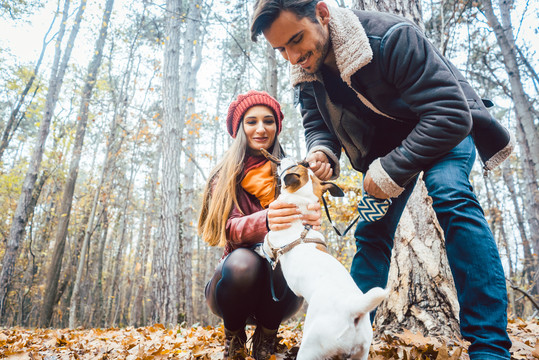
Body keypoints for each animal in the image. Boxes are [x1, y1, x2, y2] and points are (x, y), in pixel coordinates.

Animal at [262, 151, 388, 360]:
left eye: (291, 166)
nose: (286, 155)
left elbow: (266, 241)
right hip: (361, 351)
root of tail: (353, 308)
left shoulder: (272, 239)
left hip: (310, 349)